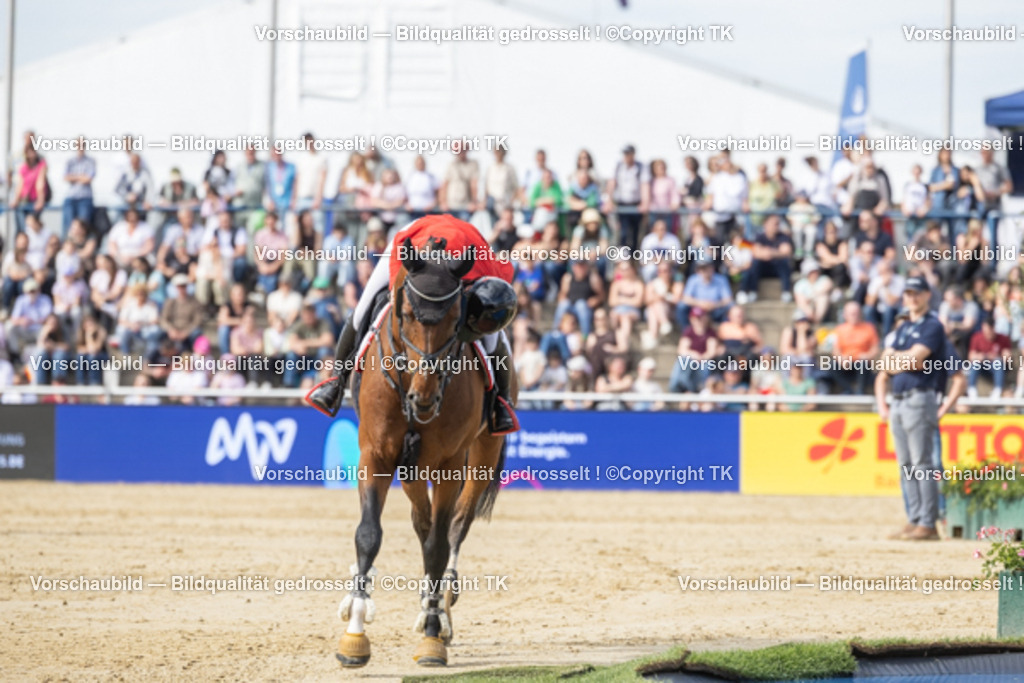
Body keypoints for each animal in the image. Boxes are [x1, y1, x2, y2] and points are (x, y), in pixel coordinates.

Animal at [335, 238, 516, 667]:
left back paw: (442, 609)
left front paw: (433, 635)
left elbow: (437, 546)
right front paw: (355, 634)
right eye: (406, 315)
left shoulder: (450, 464)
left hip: (481, 454)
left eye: (455, 320)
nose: (424, 398)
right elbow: (369, 535)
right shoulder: (376, 456)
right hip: (412, 467)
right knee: (422, 520)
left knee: (453, 527)